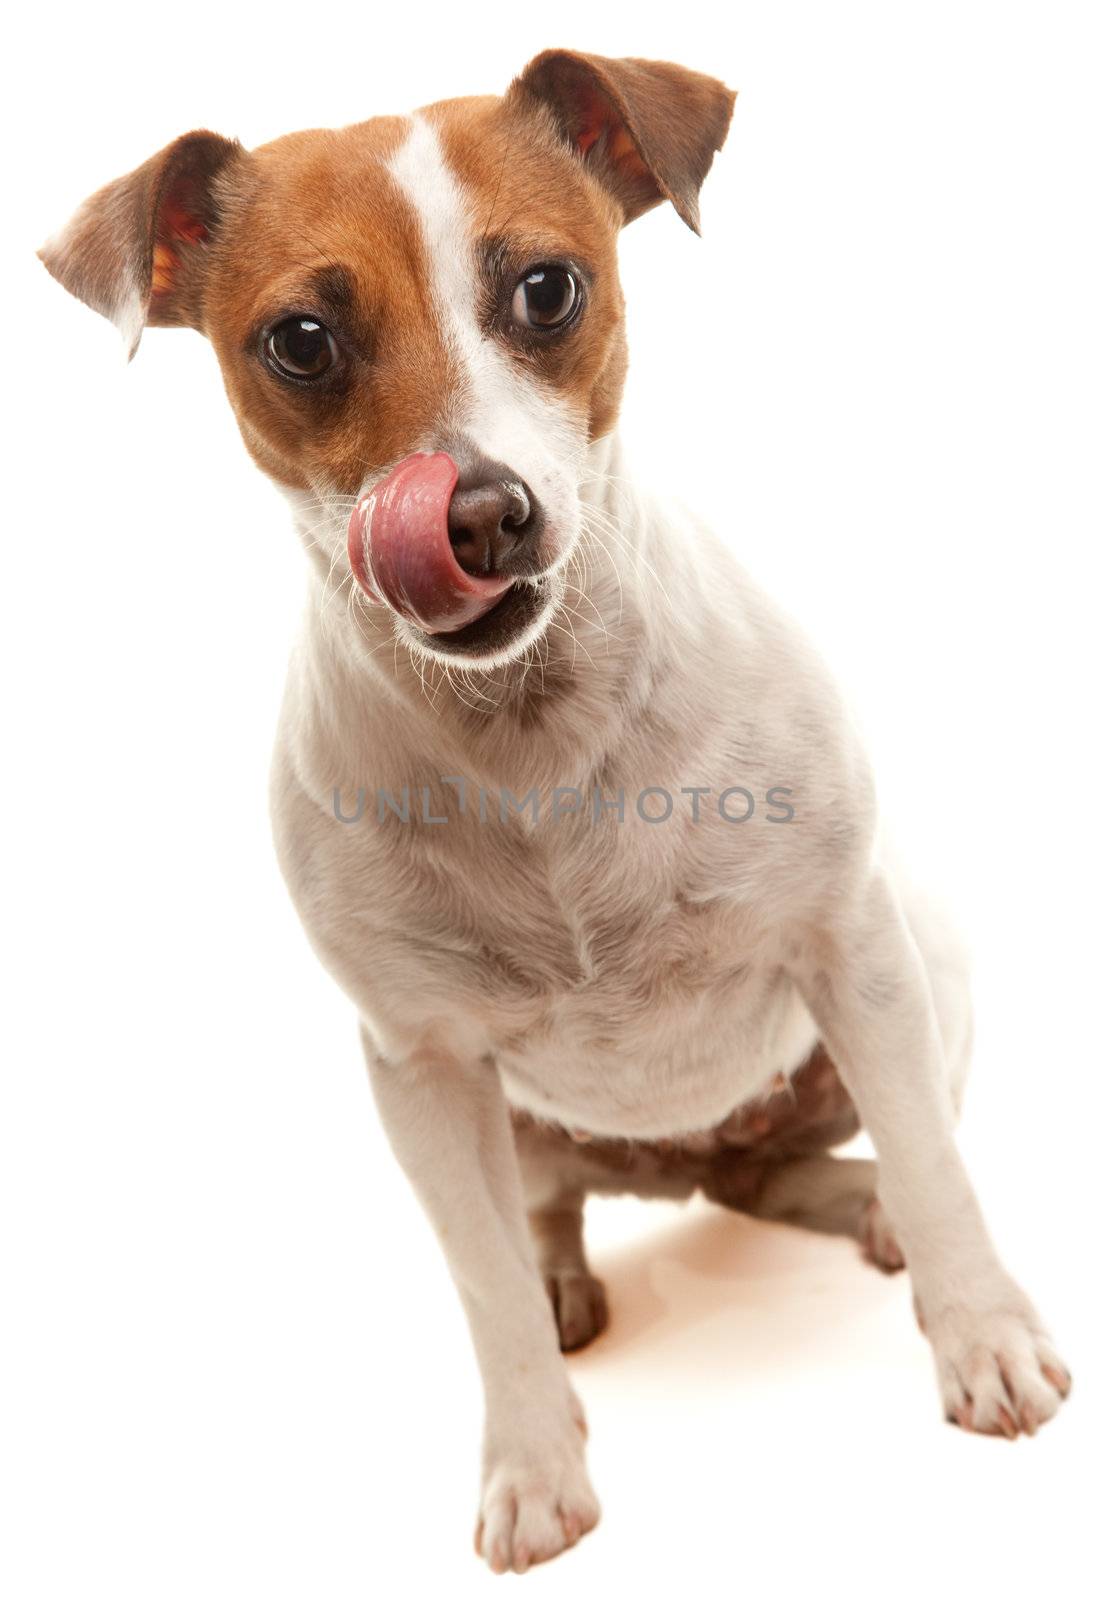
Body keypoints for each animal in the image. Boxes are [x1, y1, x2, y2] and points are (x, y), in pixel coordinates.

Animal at [43, 46, 1068, 1574]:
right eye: (301, 340)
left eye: (546, 289)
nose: (478, 514)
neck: (530, 734)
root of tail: (682, 1164)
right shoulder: (417, 1068)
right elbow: (483, 1294)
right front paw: (532, 1464)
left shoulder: (854, 950)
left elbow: (944, 1173)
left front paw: (983, 1339)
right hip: (512, 1128)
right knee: (560, 1226)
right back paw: (574, 1277)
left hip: (922, 974)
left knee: (843, 1162)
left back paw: (869, 1209)